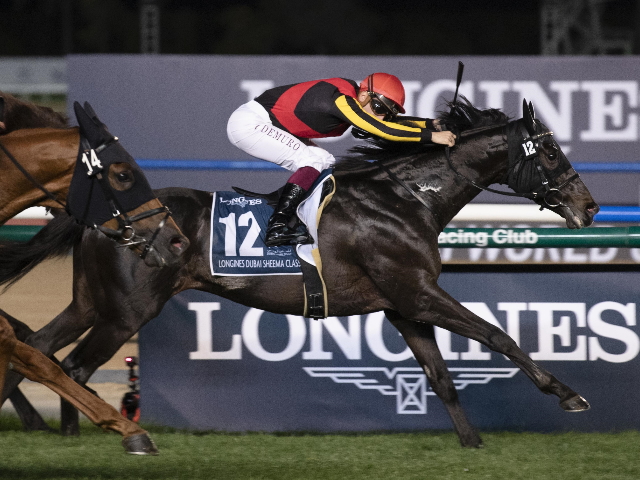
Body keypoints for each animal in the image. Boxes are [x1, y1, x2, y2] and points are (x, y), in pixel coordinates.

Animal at [2, 99, 596, 448]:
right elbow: (498, 335)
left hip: (91, 301)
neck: (407, 199)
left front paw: (471, 445)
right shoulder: (419, 292)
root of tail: (99, 217)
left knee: (35, 347)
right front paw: (567, 393)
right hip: (126, 310)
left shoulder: (403, 306)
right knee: (72, 365)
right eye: (549, 150)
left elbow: (441, 375)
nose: (588, 207)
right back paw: (111, 435)